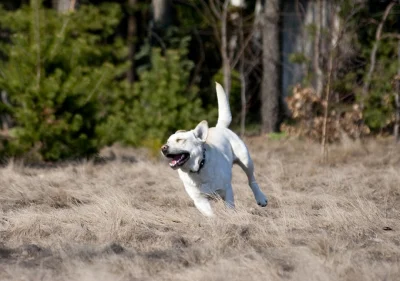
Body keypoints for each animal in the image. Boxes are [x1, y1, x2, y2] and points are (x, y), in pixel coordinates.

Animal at [162, 82, 268, 215]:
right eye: (167, 141)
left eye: (180, 140)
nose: (163, 148)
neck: (199, 168)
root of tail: (220, 127)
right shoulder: (200, 200)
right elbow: (210, 215)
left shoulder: (227, 191)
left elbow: (230, 207)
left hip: (246, 161)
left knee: (252, 180)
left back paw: (261, 198)